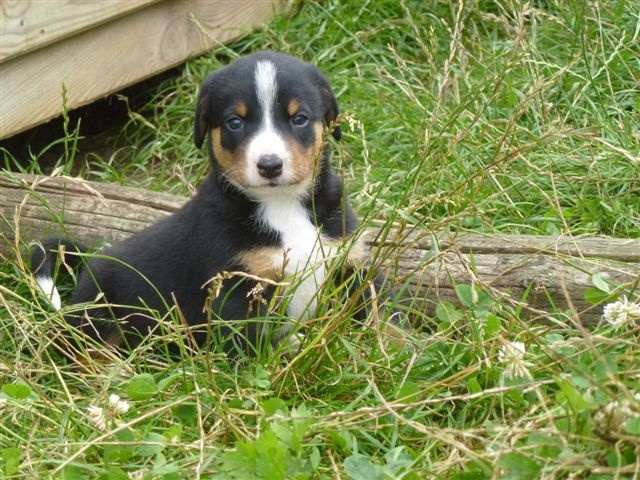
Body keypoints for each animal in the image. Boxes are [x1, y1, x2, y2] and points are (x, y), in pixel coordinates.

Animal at [31, 51, 391, 355]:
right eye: (235, 122)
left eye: (299, 118)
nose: (270, 165)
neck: (282, 204)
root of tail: (92, 260)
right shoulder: (236, 291)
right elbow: (254, 348)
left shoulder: (350, 262)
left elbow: (382, 315)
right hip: (100, 311)